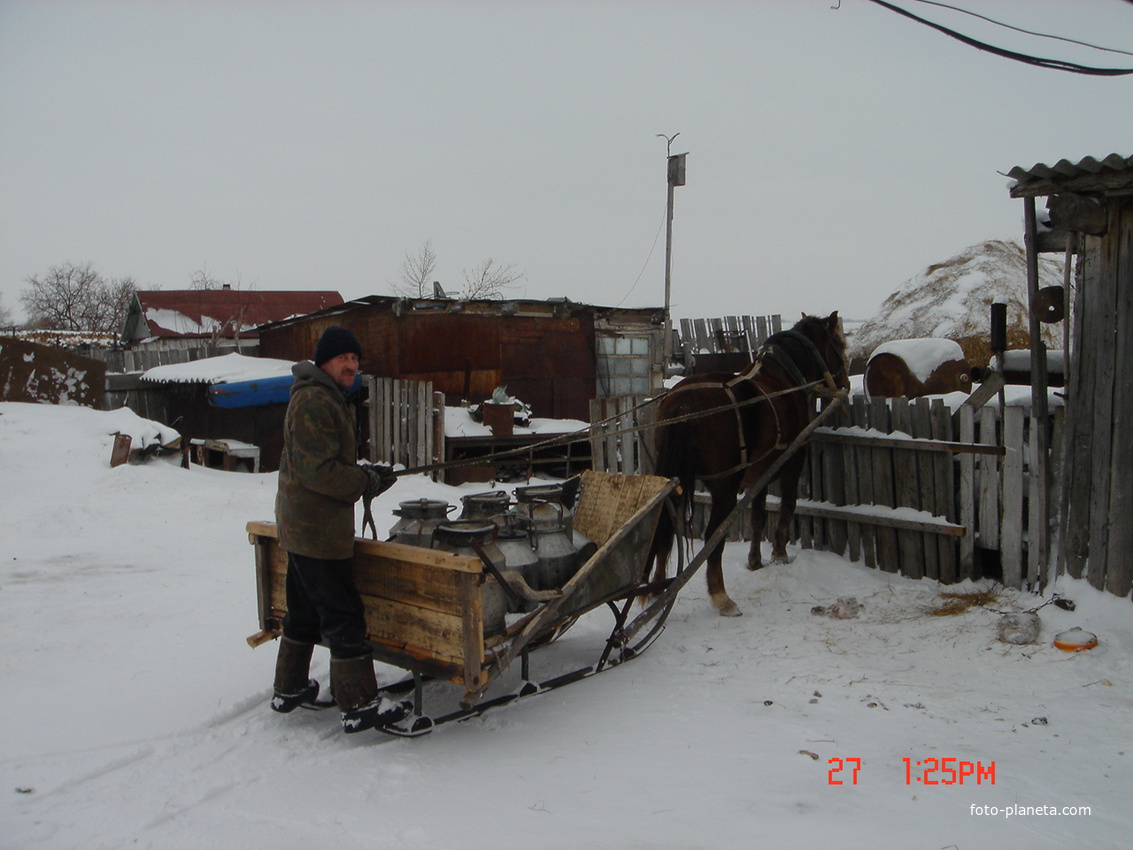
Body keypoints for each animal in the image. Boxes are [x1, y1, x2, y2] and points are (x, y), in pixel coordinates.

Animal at [648, 312, 852, 621]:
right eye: (839, 344)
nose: (844, 382)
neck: (784, 378)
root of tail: (683, 406)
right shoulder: (792, 463)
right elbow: (787, 506)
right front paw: (779, 554)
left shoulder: (759, 475)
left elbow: (757, 517)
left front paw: (755, 560)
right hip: (725, 486)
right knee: (714, 536)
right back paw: (721, 597)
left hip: (674, 479)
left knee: (666, 526)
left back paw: (658, 590)